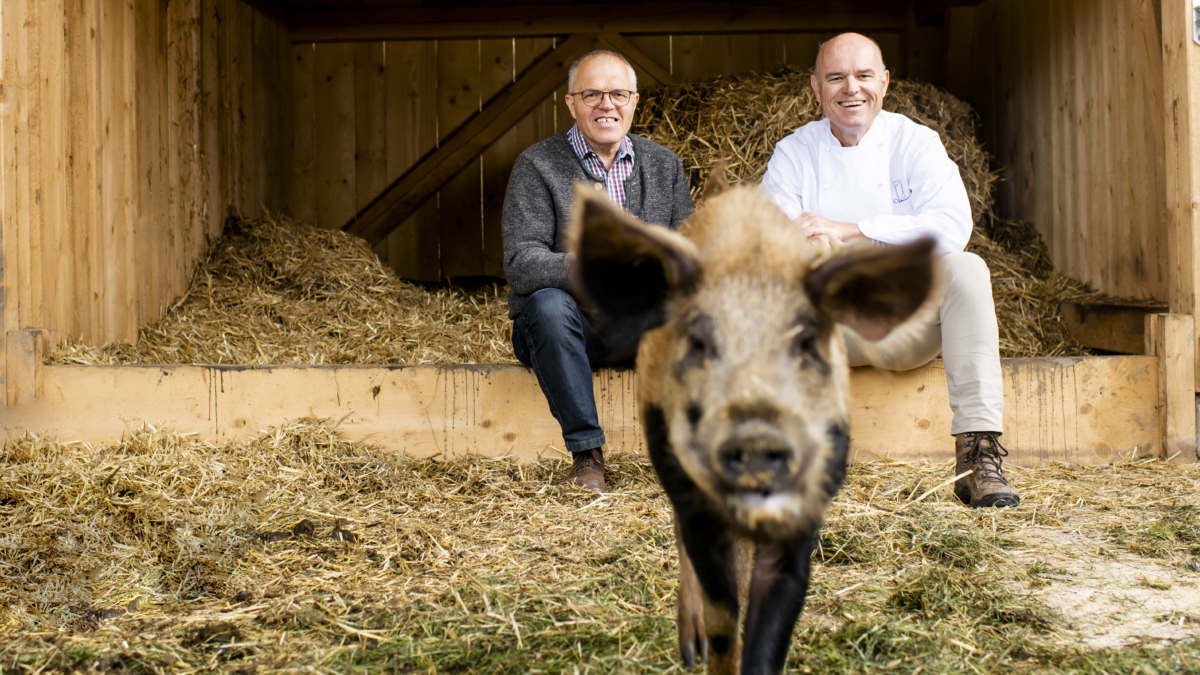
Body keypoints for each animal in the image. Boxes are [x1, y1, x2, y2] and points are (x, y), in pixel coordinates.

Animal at [564, 171, 936, 672]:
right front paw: (708, 651)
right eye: (700, 342)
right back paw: (690, 651)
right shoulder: (695, 500)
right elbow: (724, 615)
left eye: (806, 343)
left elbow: (770, 627)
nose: (756, 432)